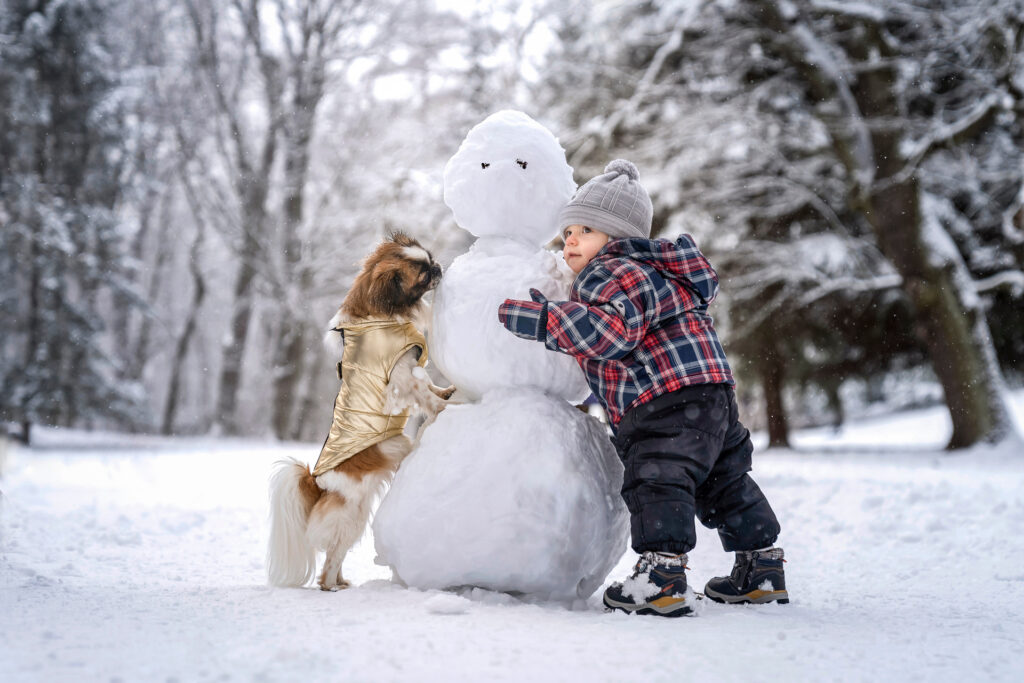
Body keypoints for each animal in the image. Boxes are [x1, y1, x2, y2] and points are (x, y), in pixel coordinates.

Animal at [266, 232, 454, 589]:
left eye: (430, 257)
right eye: (423, 275)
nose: (439, 266)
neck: (379, 317)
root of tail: (318, 484)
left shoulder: (410, 369)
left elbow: (430, 387)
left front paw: (447, 392)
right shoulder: (402, 375)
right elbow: (426, 396)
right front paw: (444, 407)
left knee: (334, 556)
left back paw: (342, 583)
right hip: (352, 514)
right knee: (329, 563)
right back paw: (332, 587)